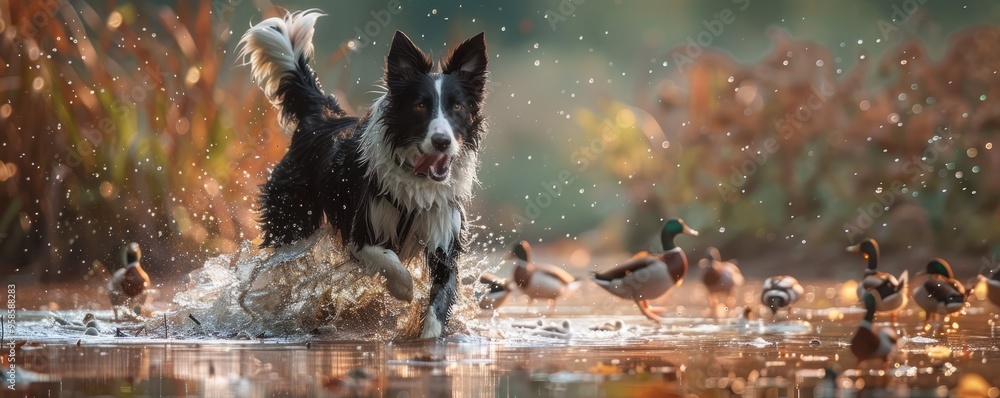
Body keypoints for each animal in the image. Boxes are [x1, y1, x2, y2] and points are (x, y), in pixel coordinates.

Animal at [234, 10, 484, 338]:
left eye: (457, 107)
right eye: (420, 106)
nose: (442, 141)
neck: (416, 181)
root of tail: (323, 116)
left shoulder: (444, 238)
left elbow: (440, 298)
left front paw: (428, 338)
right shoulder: (361, 230)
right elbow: (389, 260)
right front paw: (403, 289)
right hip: (291, 220)